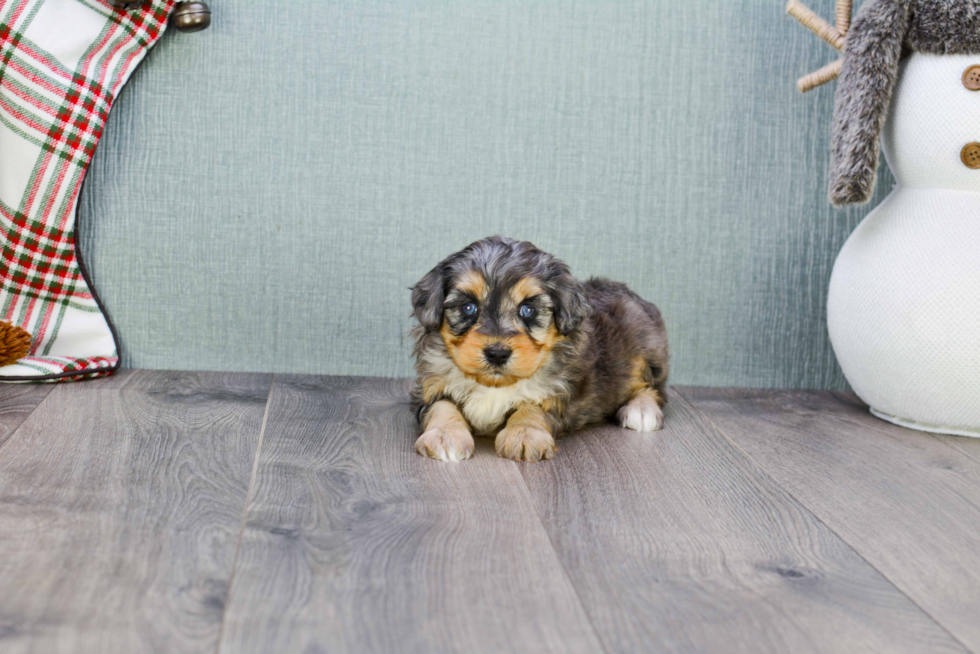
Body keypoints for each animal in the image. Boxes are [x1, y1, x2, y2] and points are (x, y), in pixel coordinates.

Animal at [406, 238, 668, 464]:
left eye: (528, 309)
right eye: (468, 307)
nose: (497, 353)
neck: (494, 385)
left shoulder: (557, 393)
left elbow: (531, 408)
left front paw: (524, 434)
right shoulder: (430, 386)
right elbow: (442, 407)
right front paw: (445, 436)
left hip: (646, 347)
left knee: (652, 387)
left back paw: (641, 410)